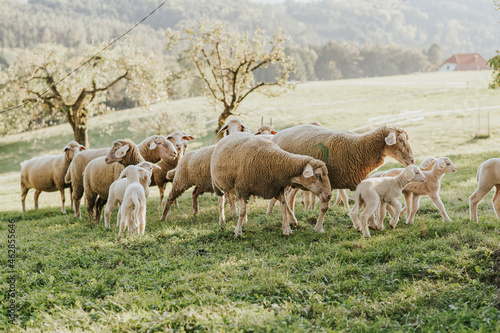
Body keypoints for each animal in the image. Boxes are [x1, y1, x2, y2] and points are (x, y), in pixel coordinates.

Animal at [270, 124, 414, 231]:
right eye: (401, 140)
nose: (412, 160)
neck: (359, 148)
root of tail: (277, 134)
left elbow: (367, 203)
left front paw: (371, 224)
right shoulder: (326, 183)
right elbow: (324, 208)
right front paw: (318, 227)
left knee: (289, 198)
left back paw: (293, 221)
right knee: (284, 198)